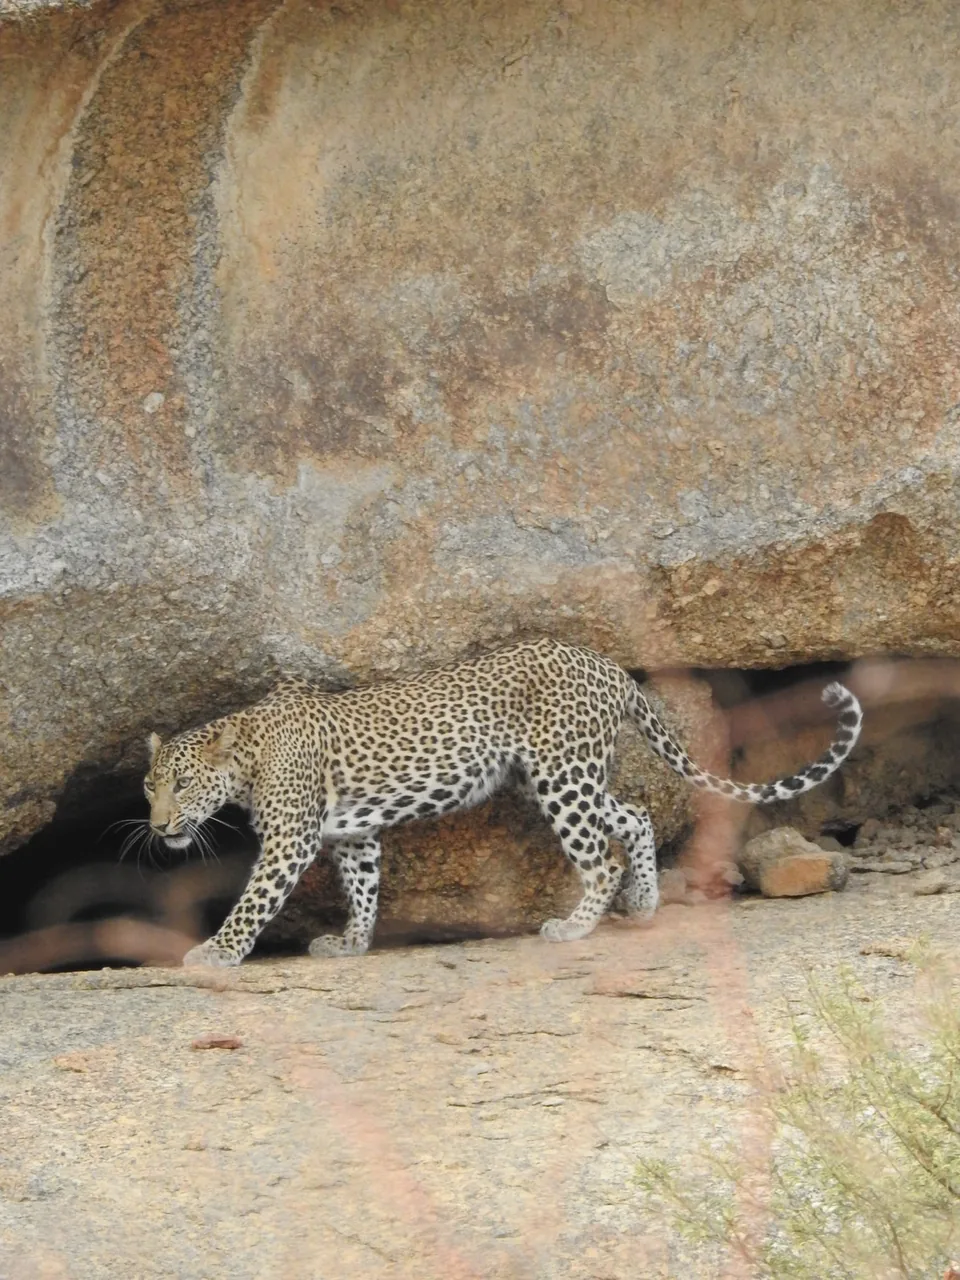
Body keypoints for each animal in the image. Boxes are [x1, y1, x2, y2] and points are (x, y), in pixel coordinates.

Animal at [141, 637, 863, 968]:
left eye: (184, 785)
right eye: (149, 787)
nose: (160, 825)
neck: (247, 755)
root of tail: (609, 667)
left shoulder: (291, 839)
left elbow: (254, 901)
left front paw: (215, 953)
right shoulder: (352, 833)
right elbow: (364, 886)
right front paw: (351, 943)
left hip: (561, 775)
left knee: (600, 855)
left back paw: (575, 926)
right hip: (571, 775)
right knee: (633, 817)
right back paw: (644, 906)